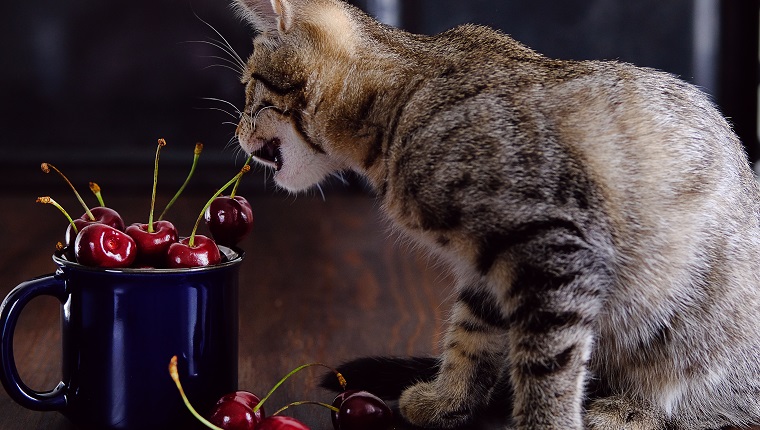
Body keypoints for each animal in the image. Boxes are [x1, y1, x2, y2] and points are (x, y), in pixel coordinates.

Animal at [230, 1, 760, 428]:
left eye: (250, 87)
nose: (235, 132)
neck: (406, 99)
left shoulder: (555, 248)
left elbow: (548, 363)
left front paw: (545, 422)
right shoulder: (485, 266)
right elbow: (470, 336)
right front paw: (448, 401)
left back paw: (630, 409)